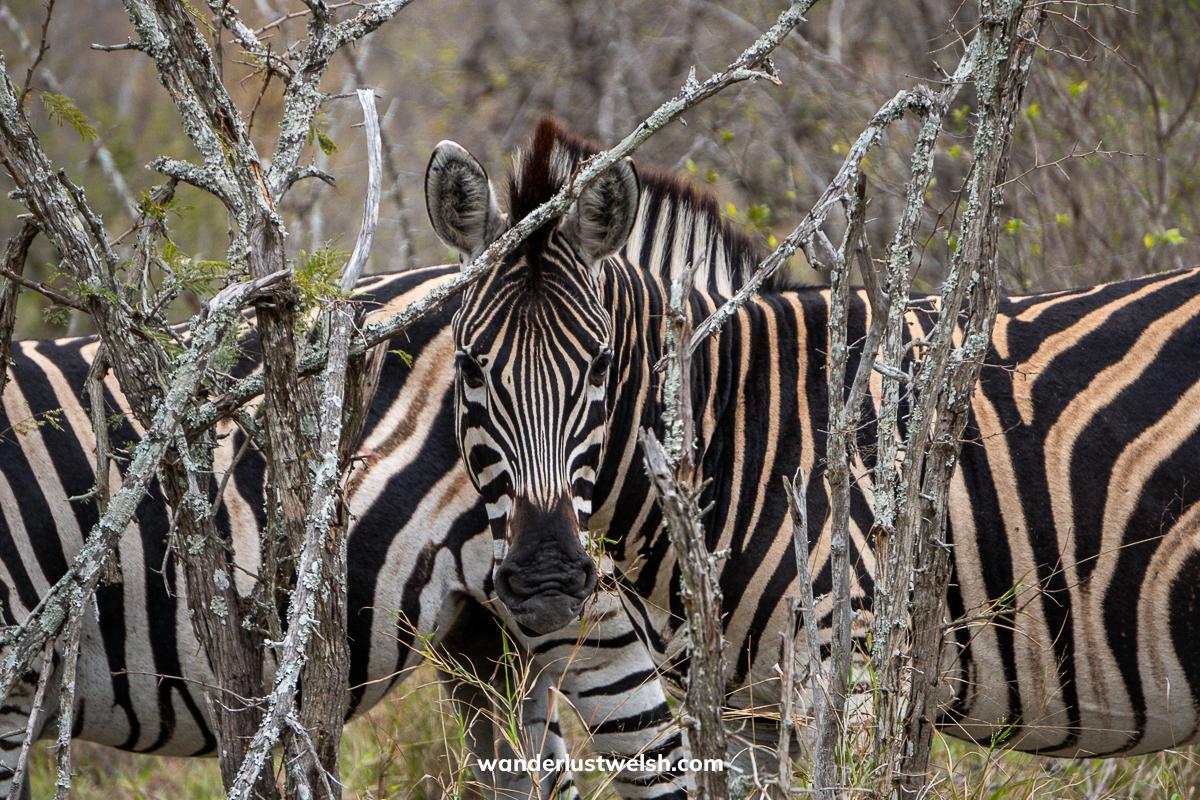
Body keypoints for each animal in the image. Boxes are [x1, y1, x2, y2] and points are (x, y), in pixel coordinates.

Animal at [426, 116, 1200, 770]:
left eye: (600, 365)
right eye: (469, 366)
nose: (548, 580)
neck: (734, 432)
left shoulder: (851, 665)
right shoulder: (747, 709)